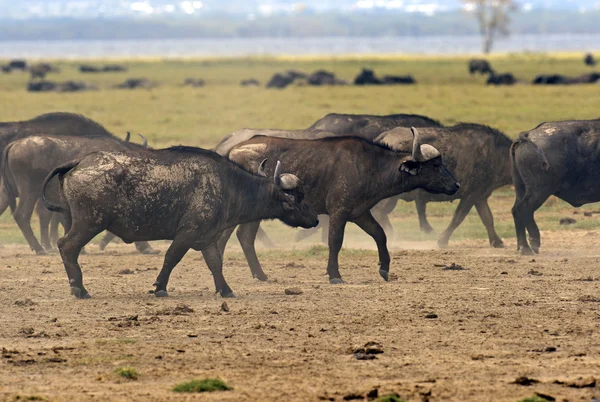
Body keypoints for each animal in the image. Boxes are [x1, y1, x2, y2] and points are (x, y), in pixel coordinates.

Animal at [0, 135, 155, 254]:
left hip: (8, 192)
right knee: (22, 215)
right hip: (30, 192)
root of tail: (15, 144)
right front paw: (145, 246)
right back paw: (39, 249)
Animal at [42, 148, 318, 298]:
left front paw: (226, 290)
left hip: (75, 221)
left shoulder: (207, 239)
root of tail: (80, 162)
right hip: (88, 224)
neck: (228, 186)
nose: (315, 219)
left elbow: (215, 264)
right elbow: (171, 258)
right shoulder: (187, 234)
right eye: (298, 197)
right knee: (66, 246)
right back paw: (80, 289)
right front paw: (160, 287)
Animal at [218, 130, 458, 284]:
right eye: (436, 164)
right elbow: (335, 241)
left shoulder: (360, 213)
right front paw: (334, 274)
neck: (371, 166)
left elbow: (380, 235)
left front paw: (384, 268)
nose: (456, 185)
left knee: (243, 237)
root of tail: (233, 151)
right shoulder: (338, 212)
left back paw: (260, 275)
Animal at [376, 124, 510, 247]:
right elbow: (458, 217)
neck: (497, 154)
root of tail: (386, 135)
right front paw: (442, 240)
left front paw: (497, 242)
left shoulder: (480, 197)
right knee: (379, 212)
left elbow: (488, 218)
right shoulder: (471, 195)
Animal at [510, 118, 600, 254]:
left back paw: (523, 247)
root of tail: (529, 134)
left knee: (516, 210)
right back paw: (532, 245)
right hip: (539, 190)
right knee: (523, 208)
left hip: (521, 187)